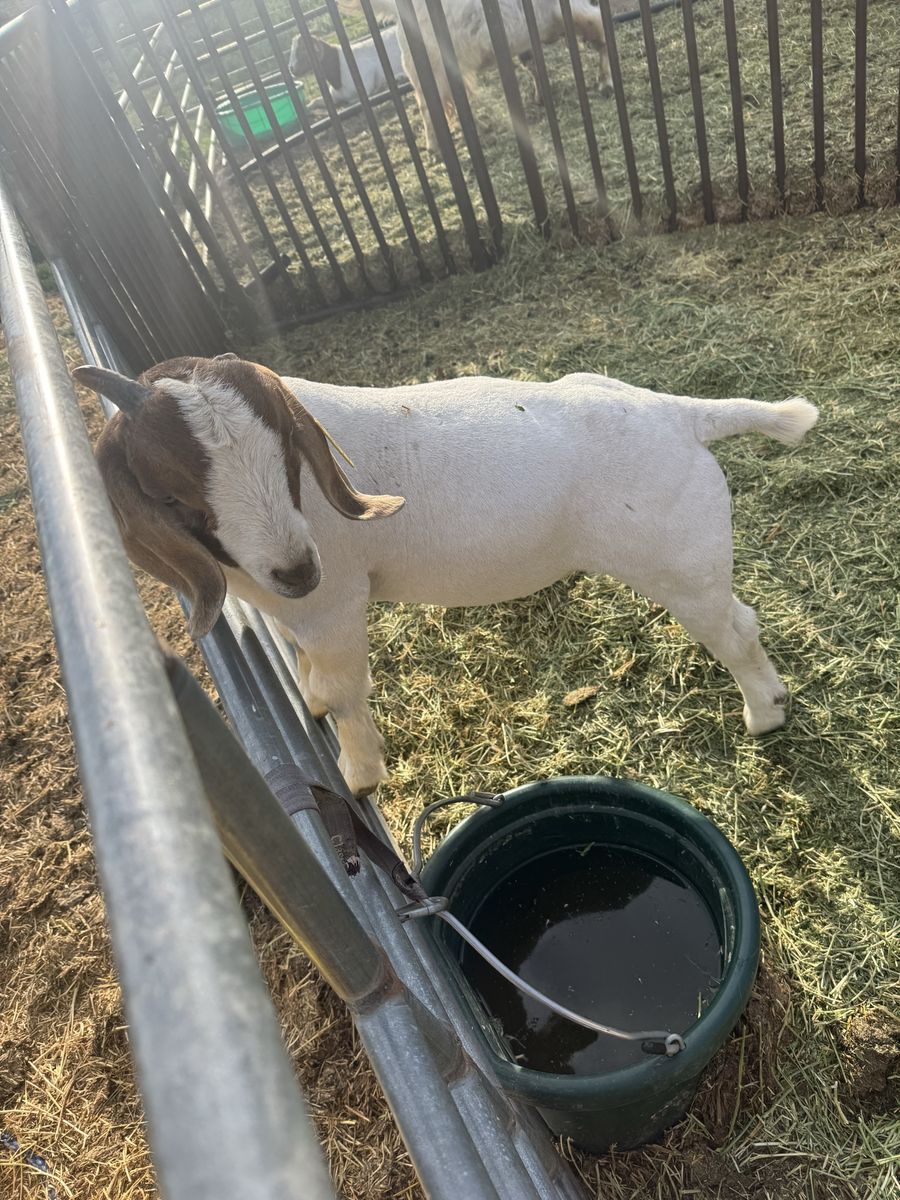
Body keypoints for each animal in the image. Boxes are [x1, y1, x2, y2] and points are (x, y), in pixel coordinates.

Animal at [76, 355, 818, 797]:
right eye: (176, 498)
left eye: (287, 456)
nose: (299, 568)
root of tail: (681, 416)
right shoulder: (297, 609)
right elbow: (306, 667)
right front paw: (307, 698)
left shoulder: (336, 603)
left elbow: (344, 692)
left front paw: (359, 777)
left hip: (679, 557)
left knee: (733, 627)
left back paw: (765, 713)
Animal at [364, 0, 614, 152]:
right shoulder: (568, 12)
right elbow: (600, 31)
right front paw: (606, 83)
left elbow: (534, 65)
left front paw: (541, 96)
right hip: (434, 71)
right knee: (430, 106)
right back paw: (435, 146)